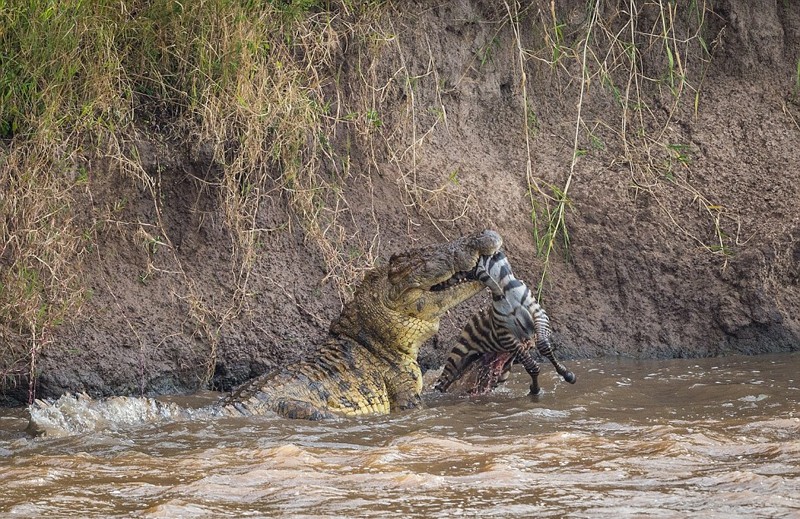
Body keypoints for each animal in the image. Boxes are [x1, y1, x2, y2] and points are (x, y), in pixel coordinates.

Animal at [434, 251, 580, 394]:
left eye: (456, 271)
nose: (434, 287)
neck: (502, 289)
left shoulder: (539, 314)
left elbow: (543, 346)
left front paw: (567, 375)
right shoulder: (505, 335)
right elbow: (532, 366)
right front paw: (535, 389)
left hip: (500, 371)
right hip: (457, 358)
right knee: (442, 384)